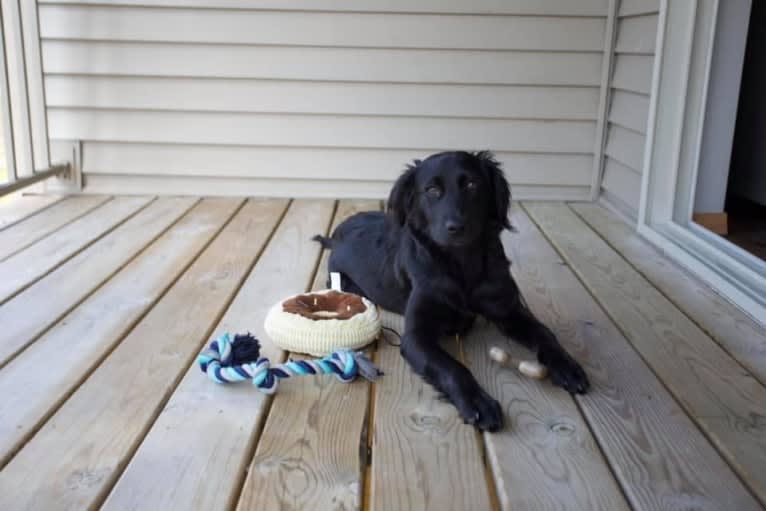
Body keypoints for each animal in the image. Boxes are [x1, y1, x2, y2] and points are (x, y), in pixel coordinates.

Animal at [316, 150, 592, 430]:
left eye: (471, 184)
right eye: (432, 190)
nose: (456, 227)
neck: (461, 264)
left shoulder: (508, 309)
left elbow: (545, 333)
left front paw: (566, 364)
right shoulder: (415, 337)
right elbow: (452, 368)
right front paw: (479, 403)